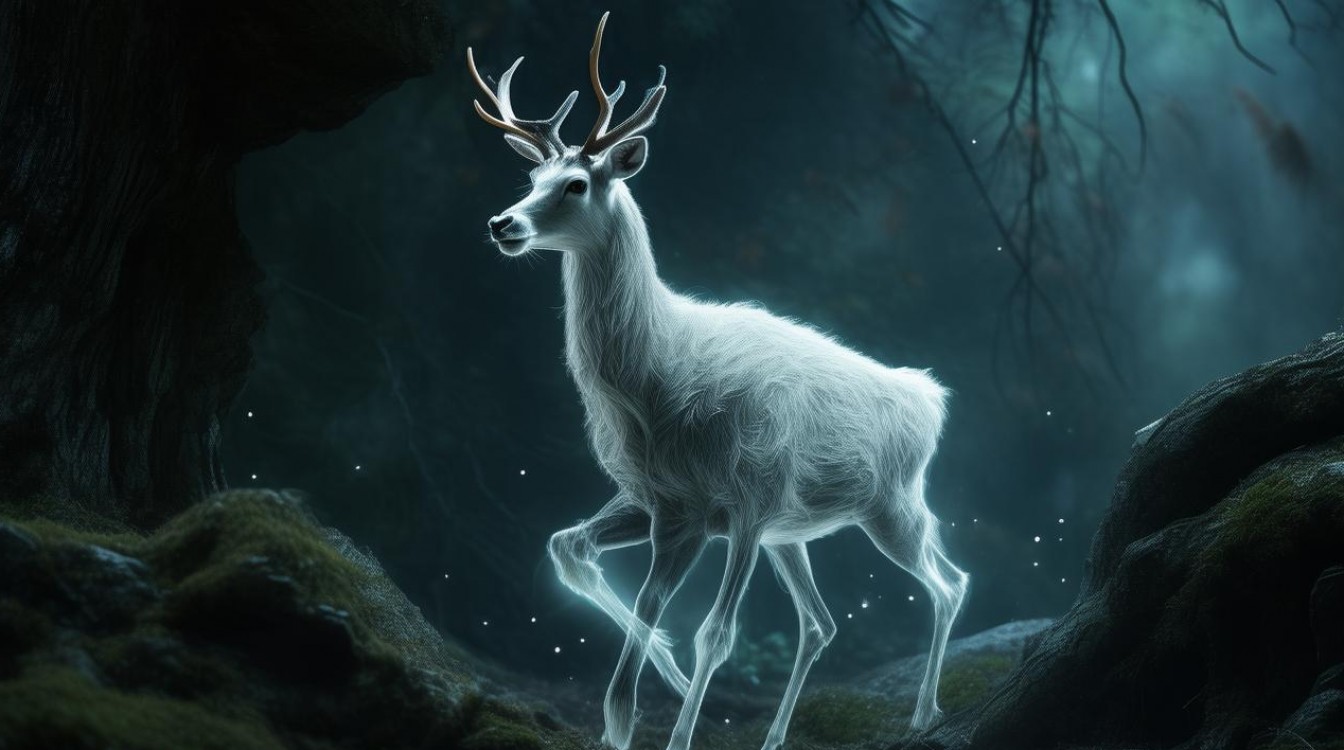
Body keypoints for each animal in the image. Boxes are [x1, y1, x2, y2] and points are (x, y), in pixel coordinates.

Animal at [467, 13, 969, 750]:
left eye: (577, 184)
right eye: (532, 173)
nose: (503, 223)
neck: (652, 381)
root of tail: (932, 398)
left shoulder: (745, 502)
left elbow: (717, 634)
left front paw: (675, 721)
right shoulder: (664, 503)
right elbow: (571, 551)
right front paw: (651, 692)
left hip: (888, 504)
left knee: (949, 582)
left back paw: (926, 713)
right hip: (796, 532)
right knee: (821, 621)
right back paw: (777, 735)